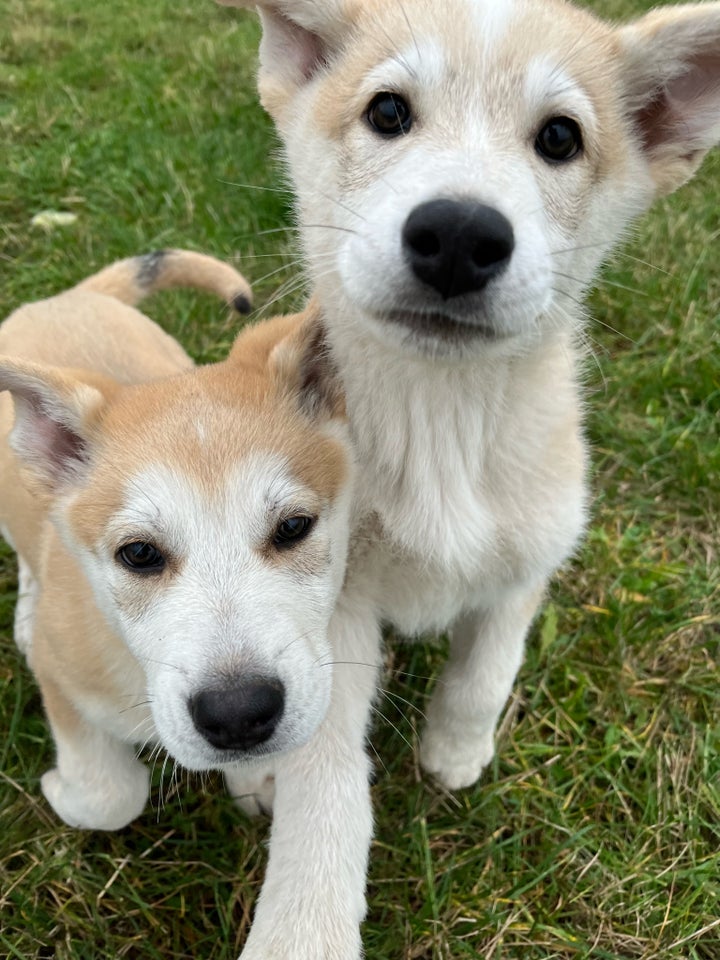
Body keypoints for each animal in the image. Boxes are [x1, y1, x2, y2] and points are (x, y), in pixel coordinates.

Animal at [0, 253, 354, 832]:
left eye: (293, 527)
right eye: (139, 554)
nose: (239, 715)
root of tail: (67, 297)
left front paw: (255, 779)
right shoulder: (60, 677)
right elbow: (110, 797)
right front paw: (62, 790)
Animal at [215, 1, 720, 960]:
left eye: (560, 137)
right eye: (387, 112)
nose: (457, 234)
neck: (441, 427)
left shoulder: (534, 549)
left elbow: (488, 667)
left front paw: (454, 751)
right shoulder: (330, 604)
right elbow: (325, 784)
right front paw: (305, 925)